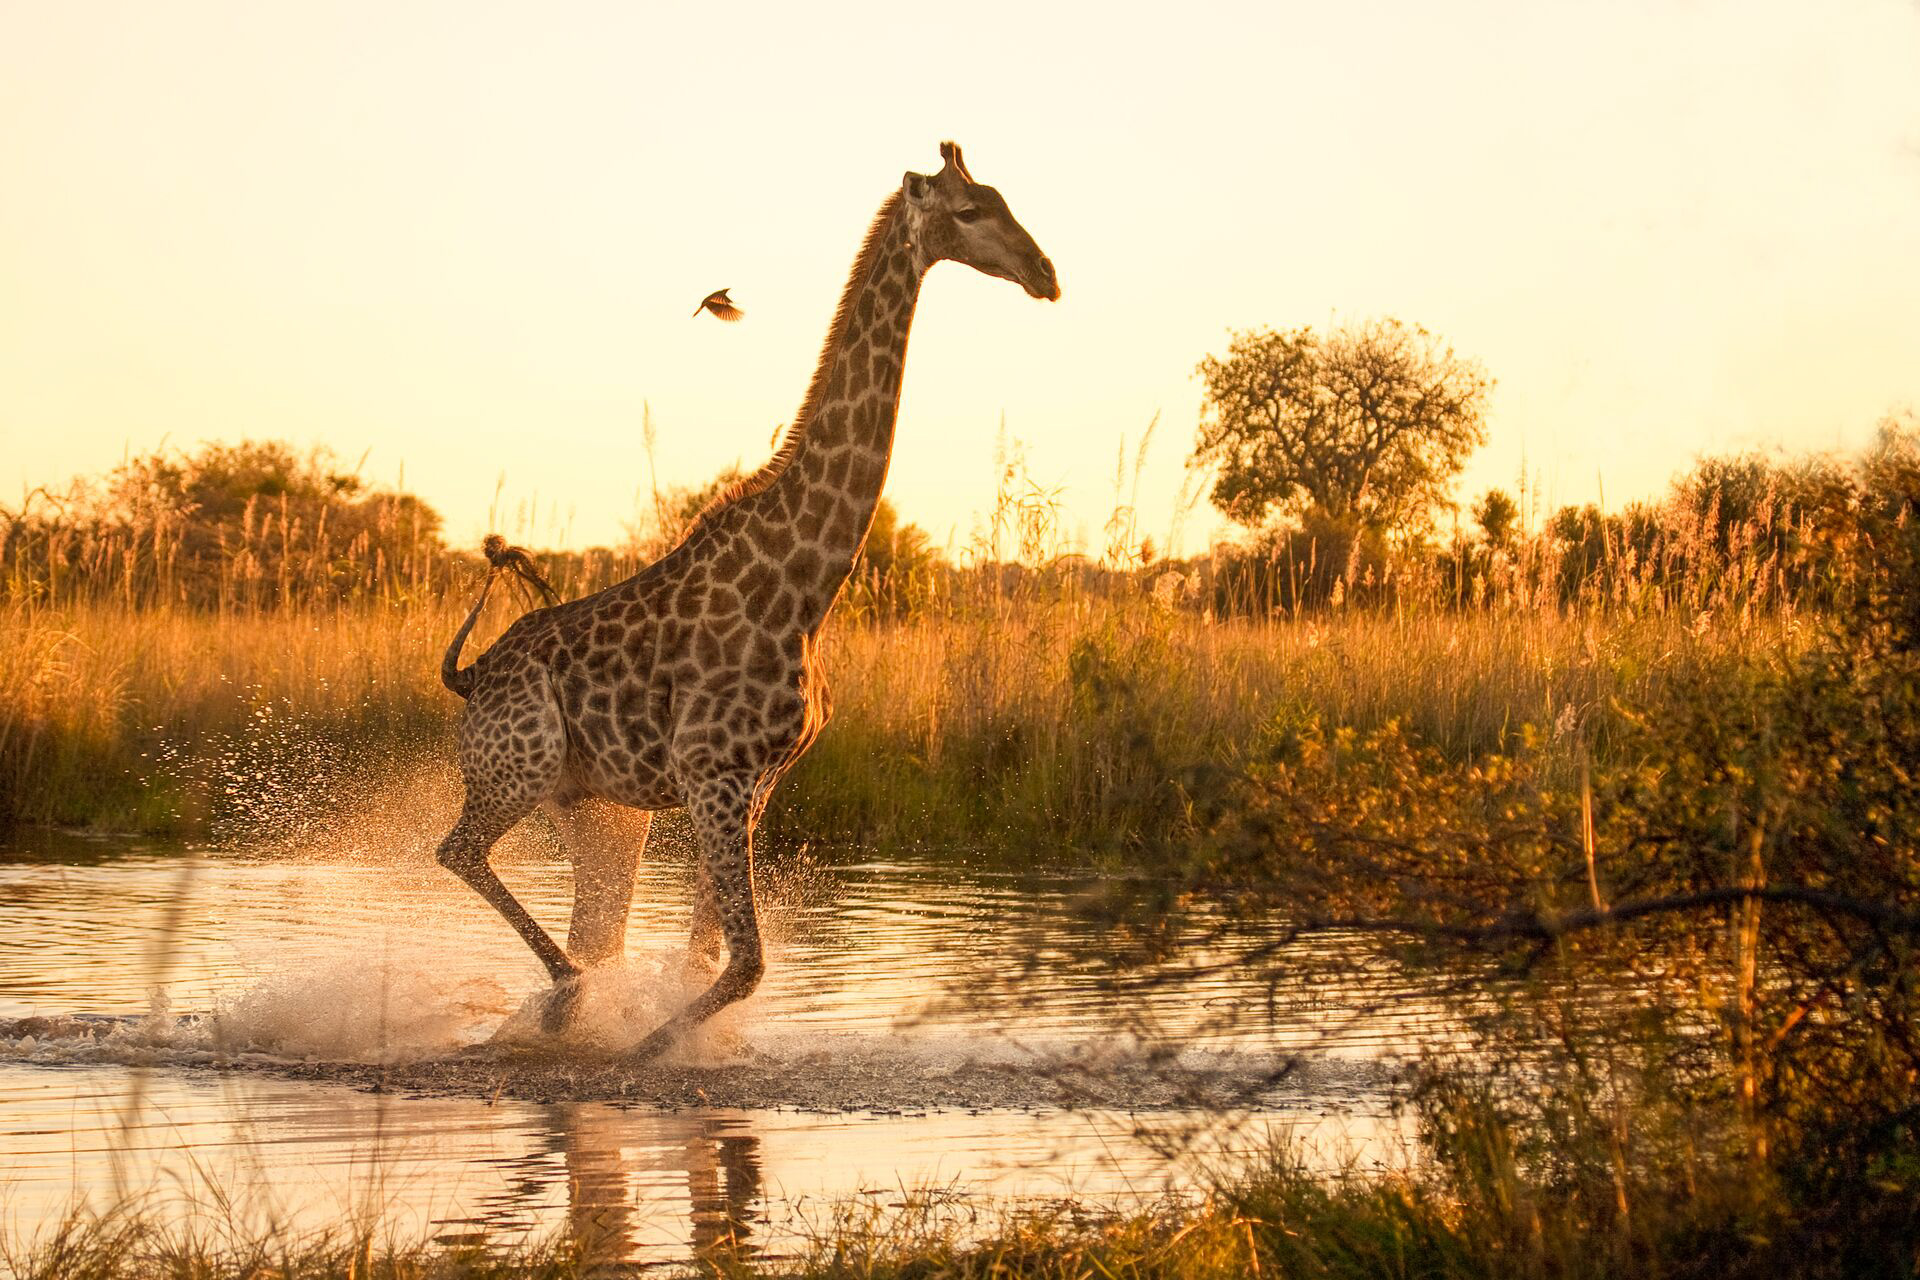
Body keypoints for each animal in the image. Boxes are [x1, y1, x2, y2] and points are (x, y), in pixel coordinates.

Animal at [438, 141, 1058, 1058]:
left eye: (1005, 199)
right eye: (971, 211)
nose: (1046, 274)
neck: (804, 592)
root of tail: (471, 676)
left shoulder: (753, 786)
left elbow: (708, 958)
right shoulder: (713, 778)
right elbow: (744, 965)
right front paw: (647, 1049)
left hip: (595, 809)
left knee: (594, 922)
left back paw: (564, 1005)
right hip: (519, 769)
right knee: (460, 854)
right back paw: (566, 998)